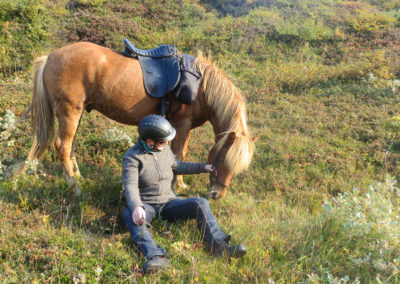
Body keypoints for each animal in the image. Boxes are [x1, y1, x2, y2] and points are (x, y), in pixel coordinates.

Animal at [26, 41, 255, 199]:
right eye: (222, 159)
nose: (217, 195)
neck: (201, 87)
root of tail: (50, 56)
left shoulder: (187, 127)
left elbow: (181, 154)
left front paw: (181, 184)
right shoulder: (182, 124)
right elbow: (178, 154)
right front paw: (175, 185)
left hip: (77, 112)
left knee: (70, 145)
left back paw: (79, 178)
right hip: (70, 111)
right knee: (62, 146)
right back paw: (75, 188)